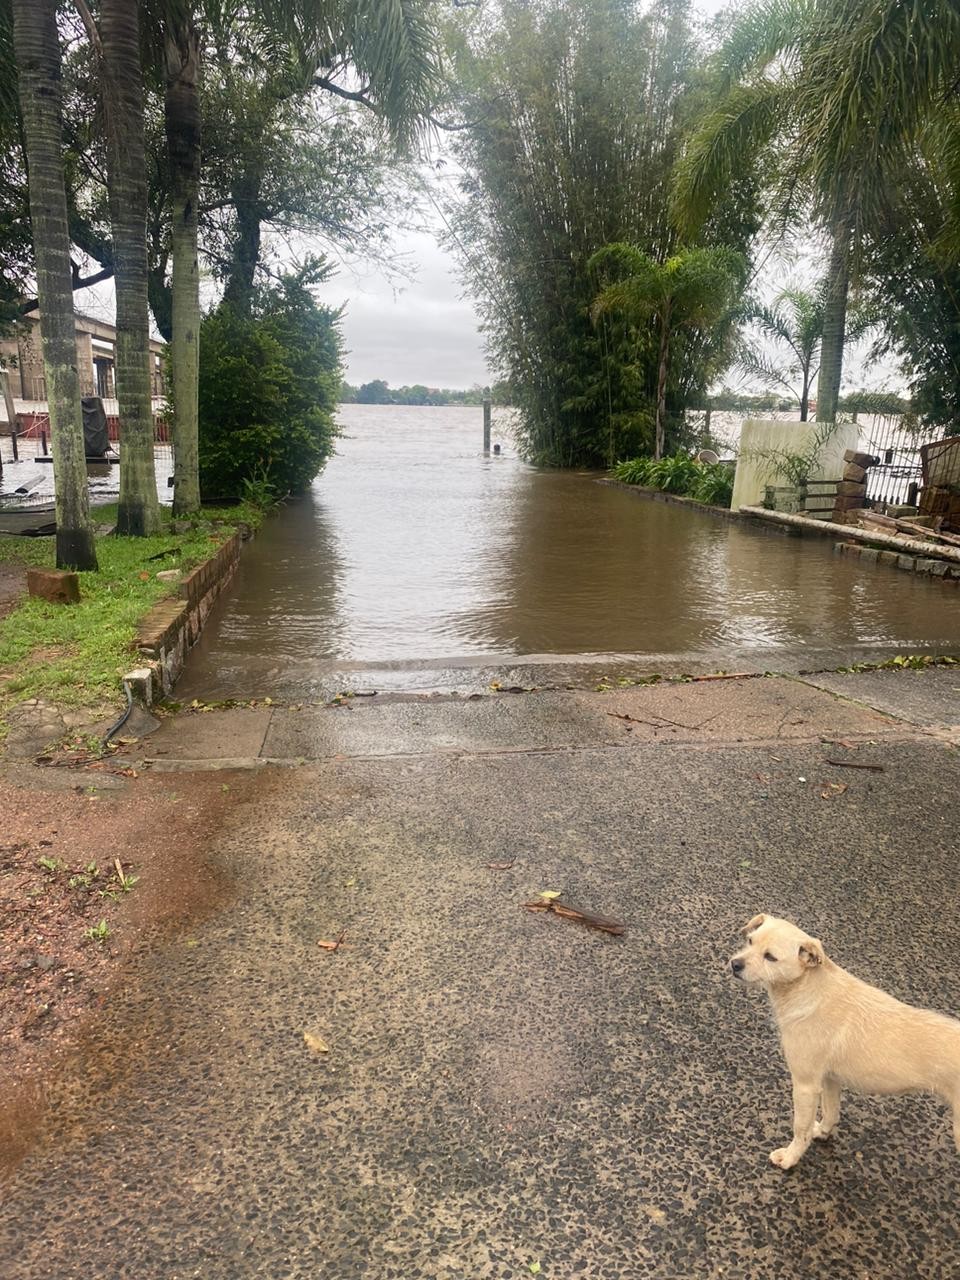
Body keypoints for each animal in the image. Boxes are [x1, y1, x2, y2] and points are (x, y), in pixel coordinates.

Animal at [727, 911, 960, 1172]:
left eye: (770, 957)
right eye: (750, 941)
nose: (735, 964)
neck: (808, 989)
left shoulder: (805, 1085)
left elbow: (800, 1128)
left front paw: (790, 1157)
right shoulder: (830, 1079)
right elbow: (831, 1112)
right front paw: (823, 1132)